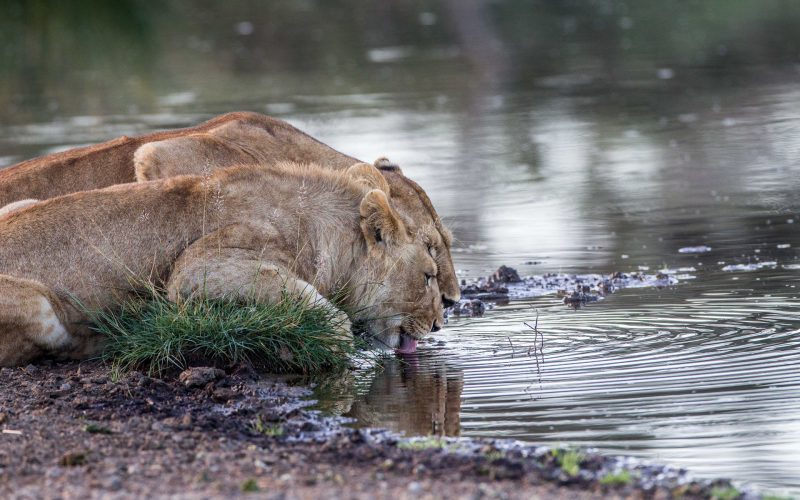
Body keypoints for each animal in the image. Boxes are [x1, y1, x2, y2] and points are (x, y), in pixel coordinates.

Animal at [0, 161, 443, 367]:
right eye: (427, 276)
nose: (440, 324)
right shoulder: (197, 268)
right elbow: (305, 298)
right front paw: (335, 342)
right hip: (40, 304)